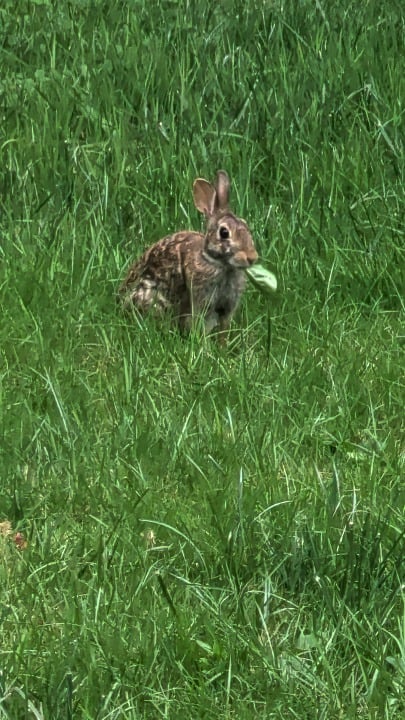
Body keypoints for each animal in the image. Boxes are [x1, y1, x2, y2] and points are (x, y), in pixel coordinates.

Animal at [118, 170, 258, 339]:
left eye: (246, 226)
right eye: (224, 232)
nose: (252, 257)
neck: (220, 264)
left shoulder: (227, 308)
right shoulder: (201, 303)